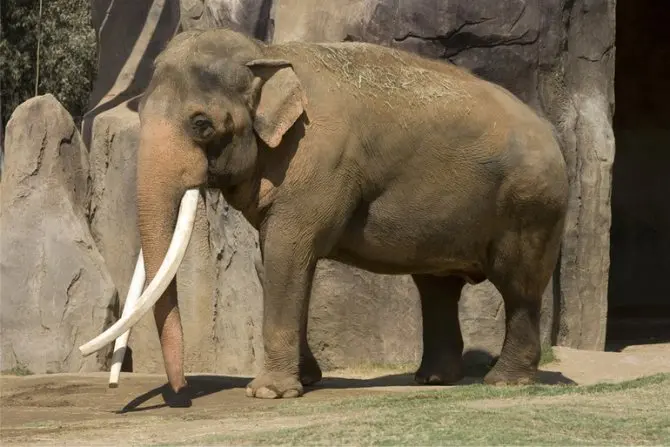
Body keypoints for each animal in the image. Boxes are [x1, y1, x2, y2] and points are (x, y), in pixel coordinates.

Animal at [80, 26, 572, 408]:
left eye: (201, 124)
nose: (181, 392)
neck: (267, 51)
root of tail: (552, 134)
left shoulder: (319, 158)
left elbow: (286, 252)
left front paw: (268, 393)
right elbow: (276, 260)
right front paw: (306, 380)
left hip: (533, 206)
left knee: (518, 287)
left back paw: (504, 381)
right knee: (437, 287)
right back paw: (433, 379)